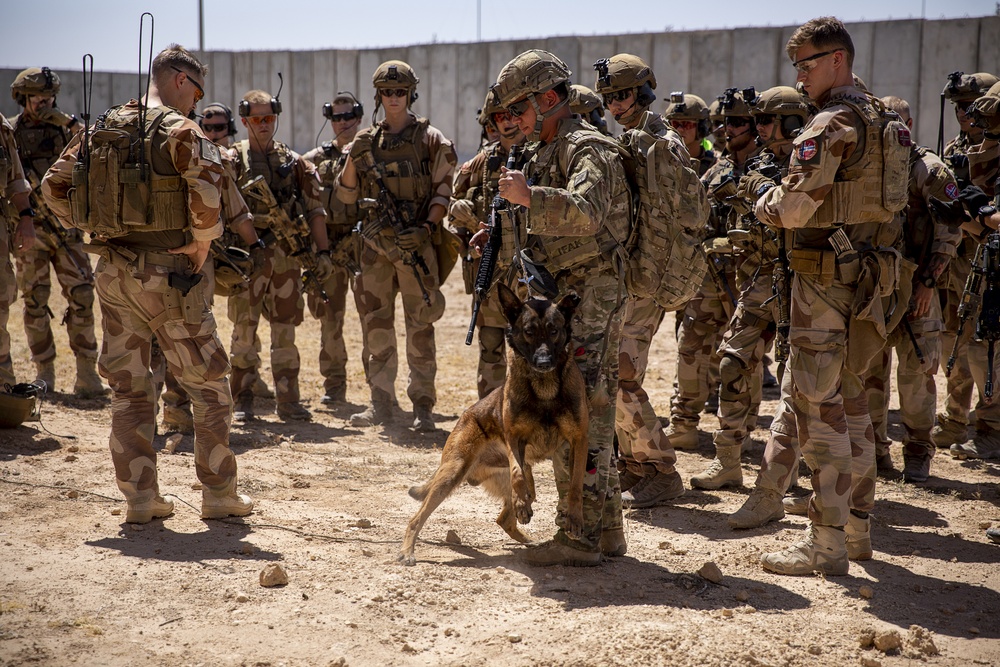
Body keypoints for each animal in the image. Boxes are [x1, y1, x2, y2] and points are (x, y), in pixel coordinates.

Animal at [396, 284, 584, 568]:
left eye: (554, 330)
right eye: (528, 331)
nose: (543, 362)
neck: (544, 387)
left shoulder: (579, 440)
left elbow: (575, 484)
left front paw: (573, 516)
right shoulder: (514, 438)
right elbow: (517, 474)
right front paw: (522, 504)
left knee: (504, 518)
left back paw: (531, 541)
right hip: (451, 474)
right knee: (416, 519)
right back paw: (407, 551)